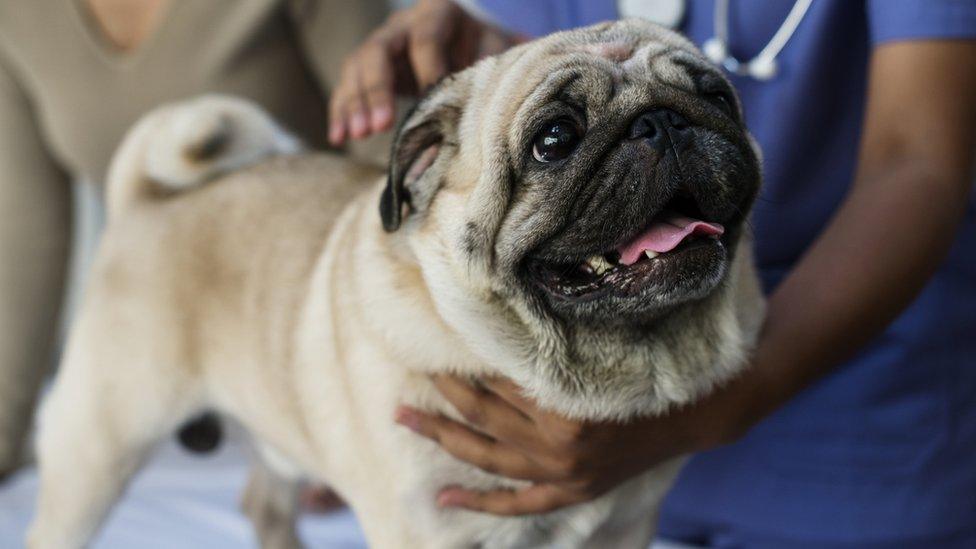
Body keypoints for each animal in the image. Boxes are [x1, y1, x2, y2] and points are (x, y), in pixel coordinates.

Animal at [26, 19, 764, 548]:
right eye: (554, 139)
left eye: (717, 97)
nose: (661, 121)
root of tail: (143, 201)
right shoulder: (426, 532)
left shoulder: (625, 528)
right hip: (99, 446)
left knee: (263, 502)